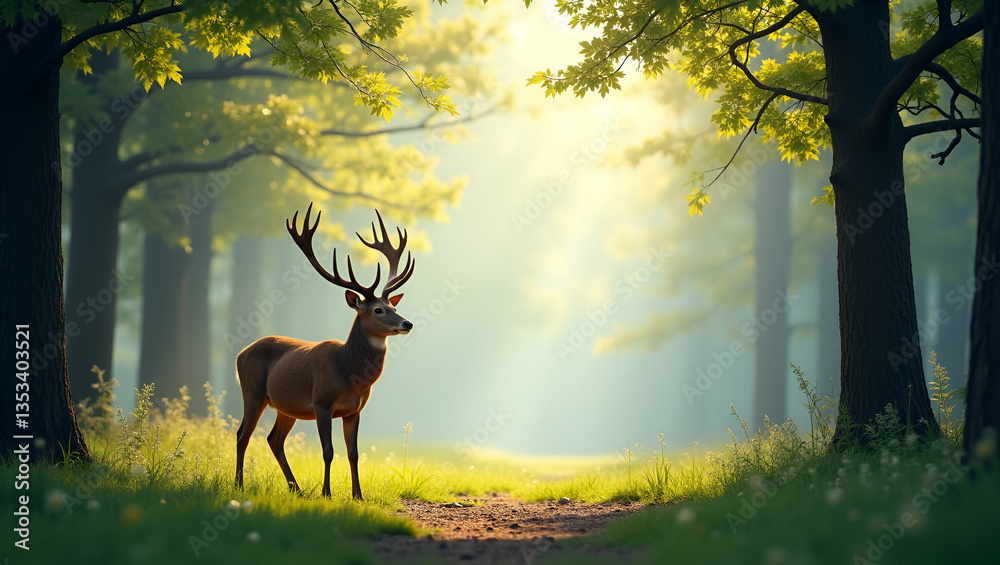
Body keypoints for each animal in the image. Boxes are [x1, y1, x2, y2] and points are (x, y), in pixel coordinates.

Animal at [234, 202, 415, 500]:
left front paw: (358, 496)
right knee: (242, 435)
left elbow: (353, 453)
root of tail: (240, 353)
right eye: (378, 310)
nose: (407, 323)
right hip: (253, 391)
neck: (349, 373)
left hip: (286, 406)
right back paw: (238, 485)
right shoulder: (321, 402)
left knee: (274, 439)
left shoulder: (354, 410)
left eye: (394, 306)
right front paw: (326, 494)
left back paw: (295, 488)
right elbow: (328, 452)